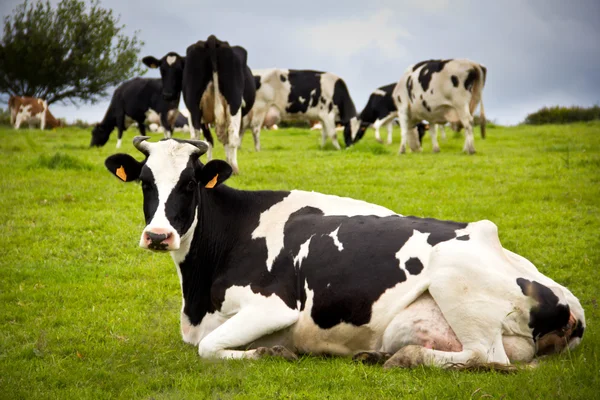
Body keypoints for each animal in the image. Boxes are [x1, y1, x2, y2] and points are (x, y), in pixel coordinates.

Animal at [104, 137, 584, 368]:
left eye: (189, 183)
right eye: (145, 182)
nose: (159, 235)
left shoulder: (274, 306)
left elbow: (208, 348)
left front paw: (270, 353)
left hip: (456, 282)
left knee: (486, 357)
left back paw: (402, 360)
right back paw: (377, 355)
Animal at [146, 34, 258, 172]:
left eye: (178, 70)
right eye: (162, 70)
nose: (168, 94)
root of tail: (212, 39)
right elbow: (212, 140)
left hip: (196, 107)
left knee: (202, 136)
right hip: (231, 103)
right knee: (230, 135)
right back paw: (233, 167)